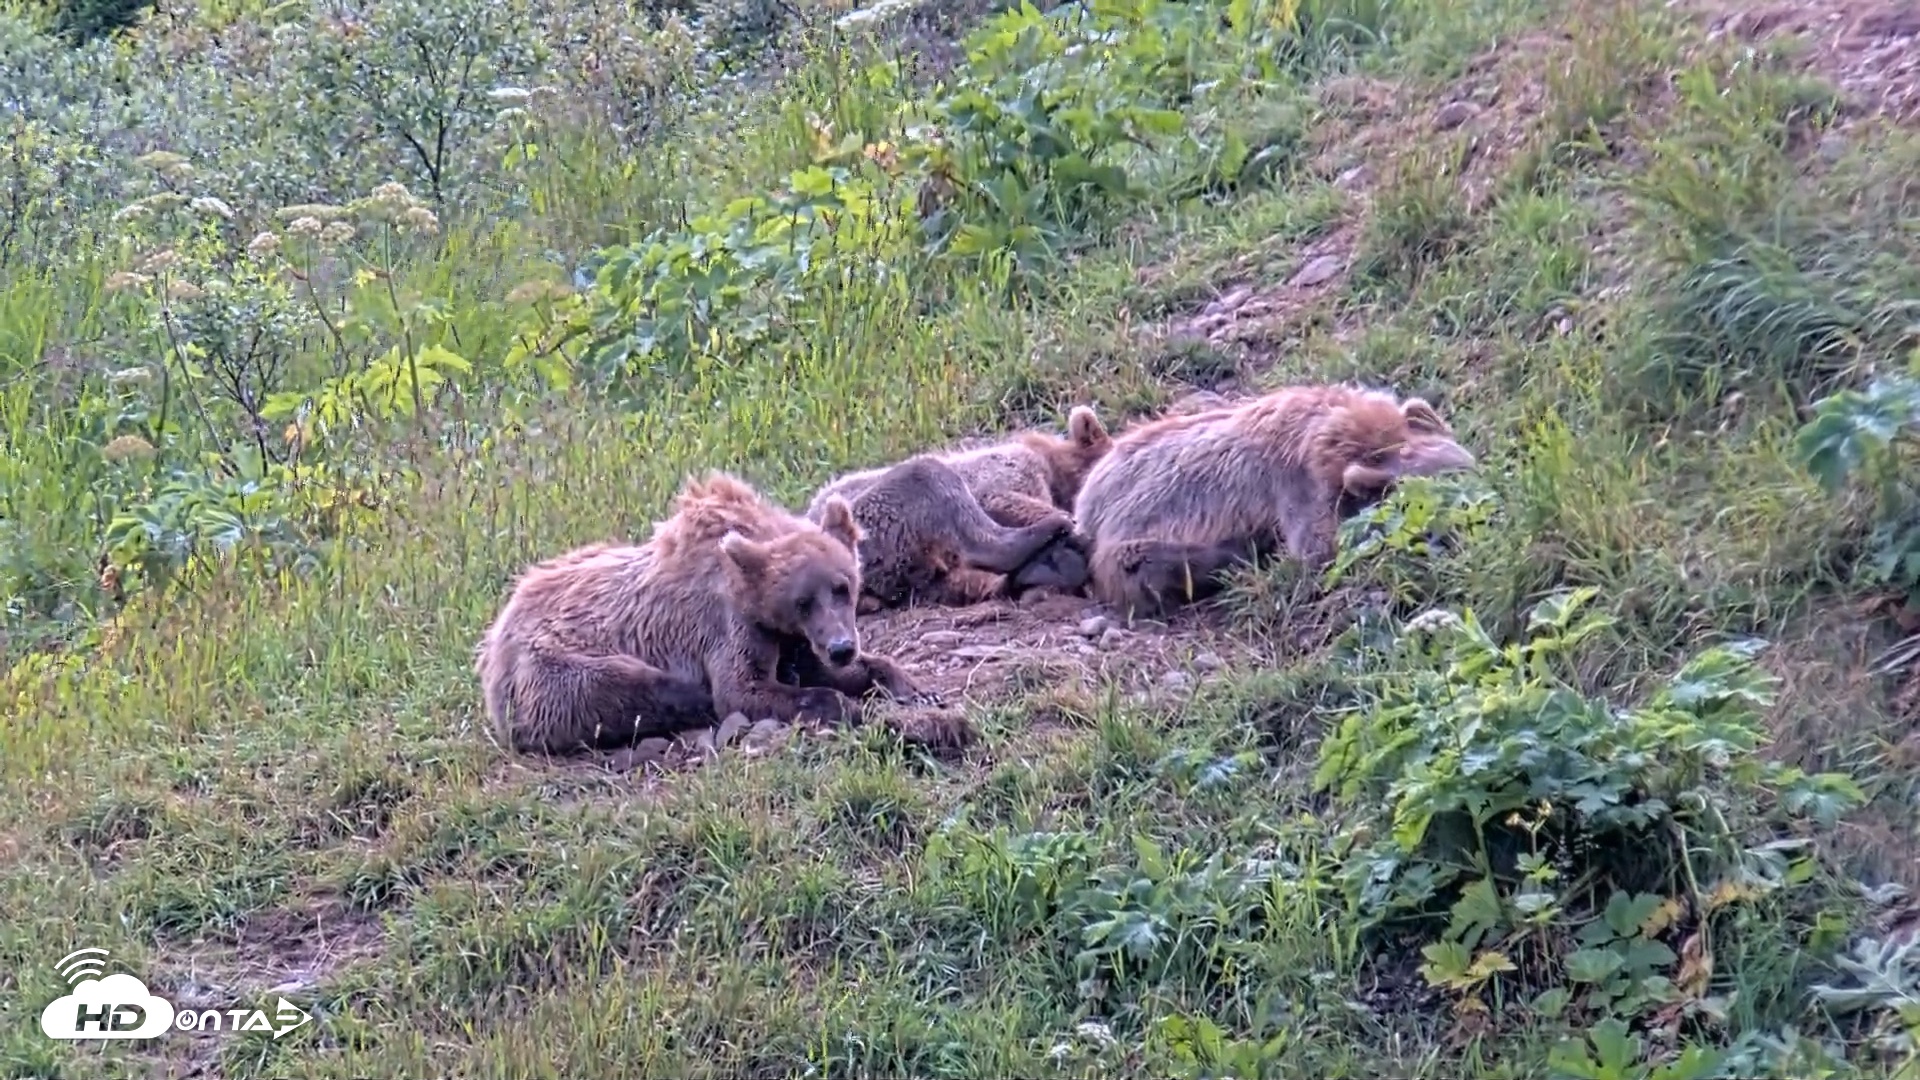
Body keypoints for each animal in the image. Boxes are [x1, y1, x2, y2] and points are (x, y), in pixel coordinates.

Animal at [475, 471, 954, 756]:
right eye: (803, 600)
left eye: (843, 587)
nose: (841, 647)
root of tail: (497, 633)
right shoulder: (728, 627)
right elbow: (742, 688)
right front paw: (842, 705)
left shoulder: (793, 637)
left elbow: (822, 668)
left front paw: (911, 687)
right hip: (553, 670)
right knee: (628, 689)